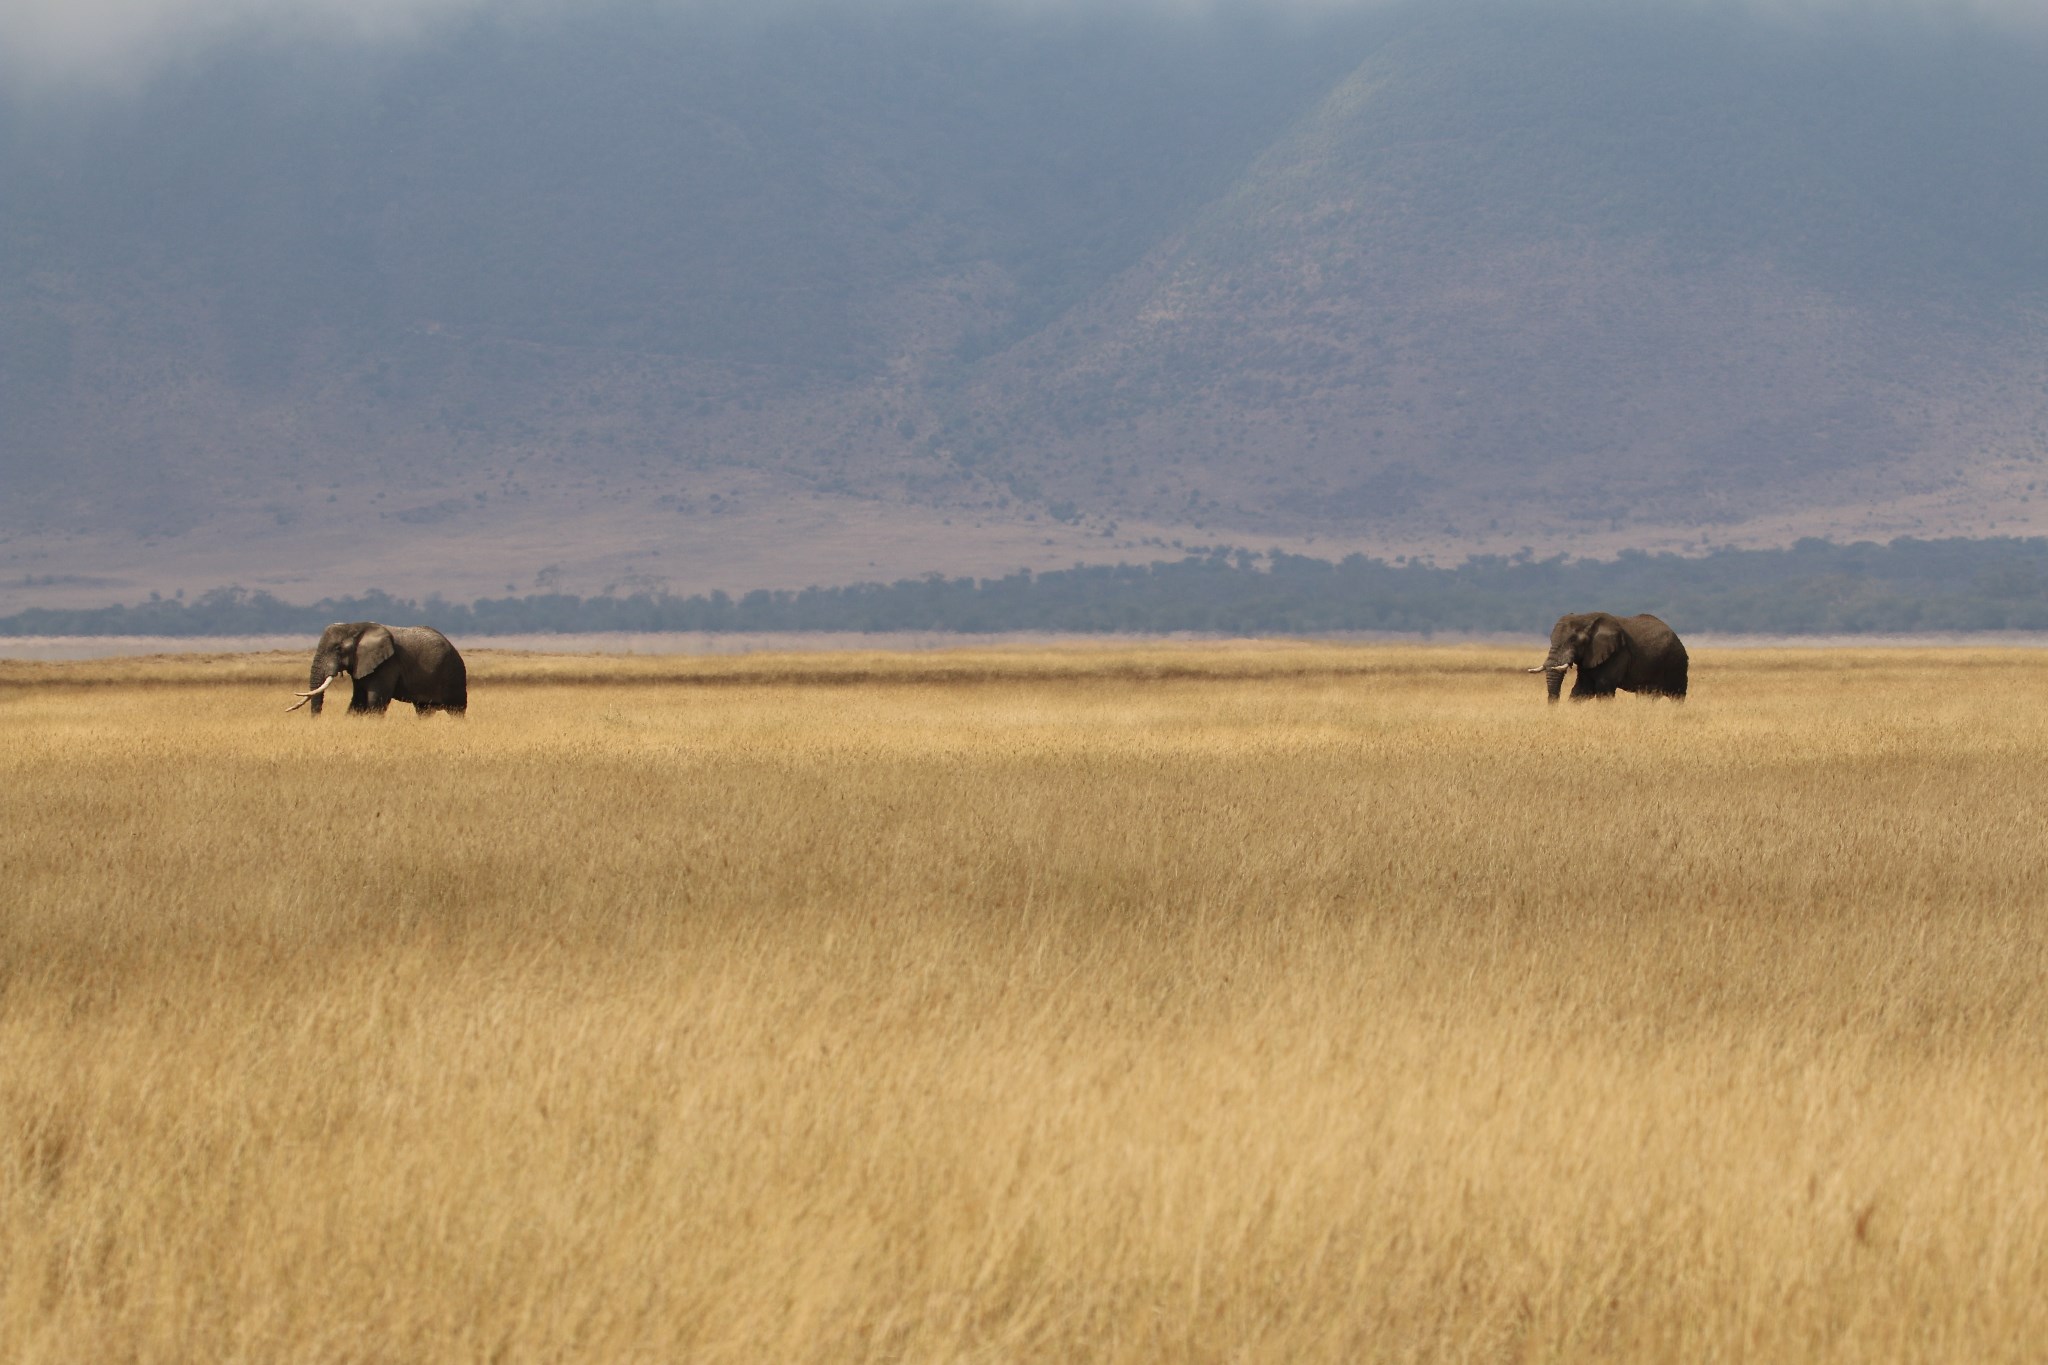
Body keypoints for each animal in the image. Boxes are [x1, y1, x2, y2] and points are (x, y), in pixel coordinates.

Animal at [288, 626, 468, 720]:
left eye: (338, 649)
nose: (317, 720)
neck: (357, 627)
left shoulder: (388, 664)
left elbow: (376, 699)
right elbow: (358, 700)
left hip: (454, 675)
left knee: (456, 710)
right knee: (424, 710)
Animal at [1531, 618, 1687, 712]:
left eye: (1572, 641)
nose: (1554, 708)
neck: (1586, 619)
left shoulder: (1617, 654)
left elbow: (1604, 687)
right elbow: (1583, 689)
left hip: (1676, 663)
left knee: (1677, 695)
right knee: (1647, 696)